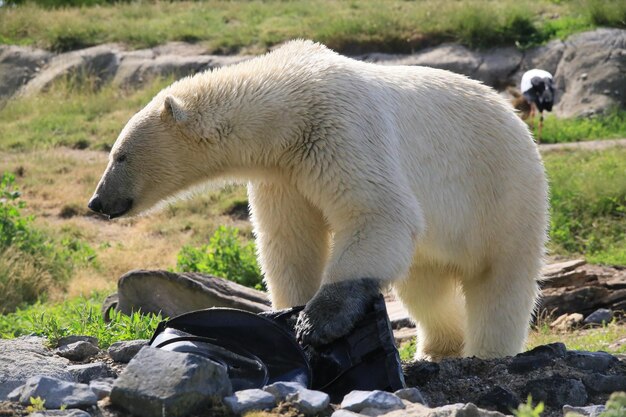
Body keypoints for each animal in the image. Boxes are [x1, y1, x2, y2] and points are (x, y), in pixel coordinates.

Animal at [88, 39, 544, 360]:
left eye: (120, 154)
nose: (97, 202)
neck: (290, 100)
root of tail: (516, 118)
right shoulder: (283, 173)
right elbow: (291, 240)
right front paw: (288, 311)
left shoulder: (340, 129)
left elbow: (377, 212)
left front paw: (317, 321)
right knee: (425, 286)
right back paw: (437, 348)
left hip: (503, 190)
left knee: (501, 284)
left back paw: (488, 351)